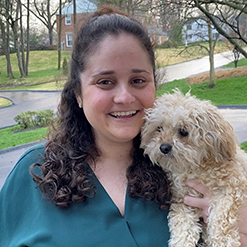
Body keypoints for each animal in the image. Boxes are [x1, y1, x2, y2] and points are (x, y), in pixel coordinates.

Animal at [141, 89, 247, 247]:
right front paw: (181, 242)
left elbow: (220, 219)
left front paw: (223, 241)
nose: (164, 147)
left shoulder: (232, 190)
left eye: (183, 131)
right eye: (159, 128)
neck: (194, 168)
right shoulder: (182, 200)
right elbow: (183, 224)